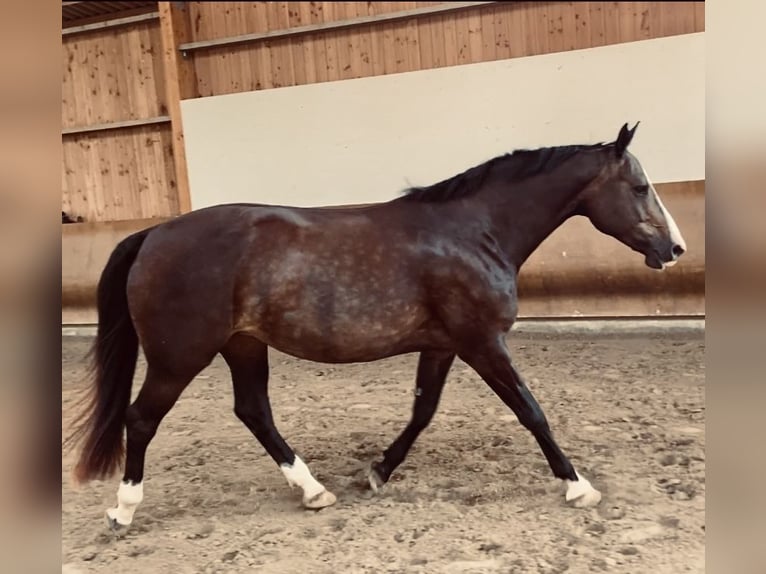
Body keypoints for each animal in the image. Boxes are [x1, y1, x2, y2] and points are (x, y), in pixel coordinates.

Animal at [66, 122, 686, 532]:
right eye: (638, 188)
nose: (675, 249)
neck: (475, 231)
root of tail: (153, 233)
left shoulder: (445, 346)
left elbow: (423, 410)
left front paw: (377, 473)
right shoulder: (483, 342)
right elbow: (531, 411)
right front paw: (578, 487)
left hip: (242, 346)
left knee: (253, 411)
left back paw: (314, 492)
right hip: (180, 356)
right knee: (141, 418)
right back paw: (122, 510)